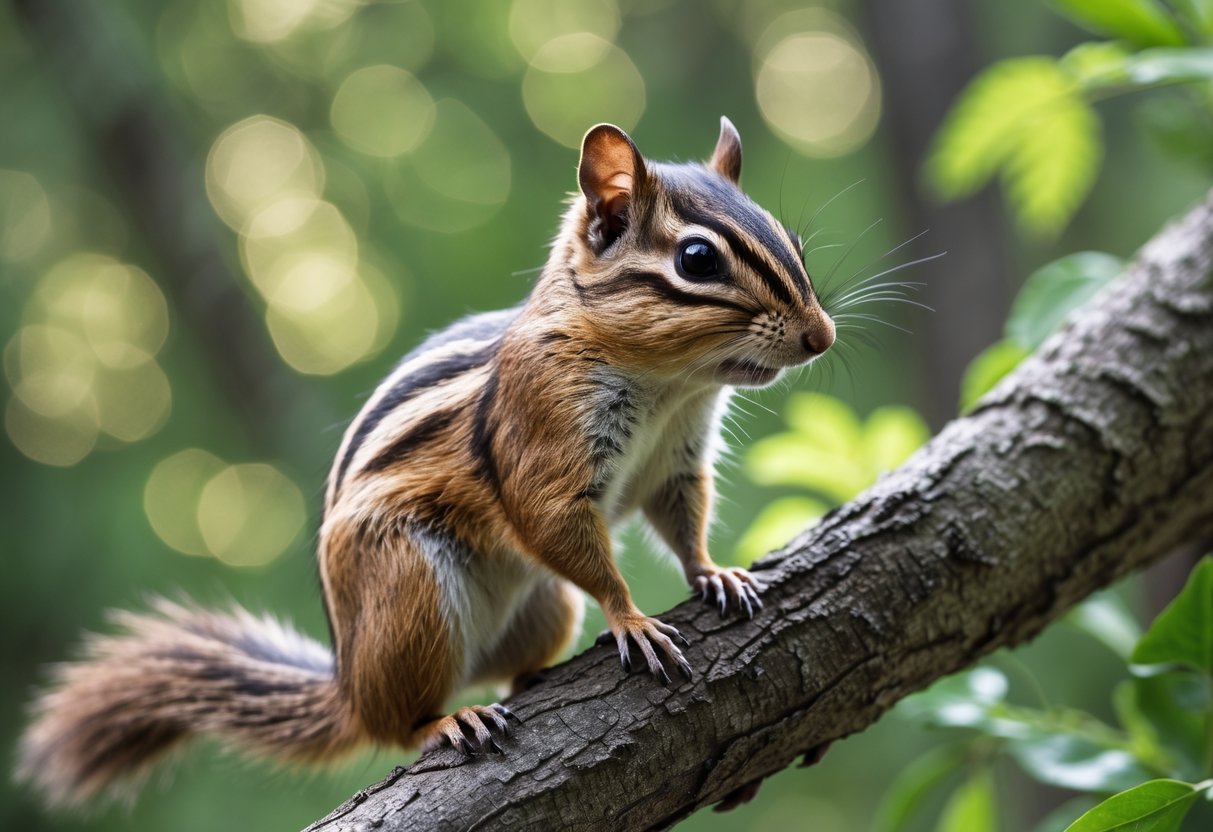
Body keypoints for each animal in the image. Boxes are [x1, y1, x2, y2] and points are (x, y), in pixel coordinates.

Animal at [17, 117, 835, 807]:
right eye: (696, 260)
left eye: (795, 244)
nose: (821, 336)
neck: (671, 384)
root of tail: (349, 684)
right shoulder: (541, 437)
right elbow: (556, 526)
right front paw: (632, 617)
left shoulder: (676, 459)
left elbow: (682, 519)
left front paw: (715, 573)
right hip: (407, 588)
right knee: (397, 723)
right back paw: (447, 722)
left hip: (542, 605)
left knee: (506, 669)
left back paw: (521, 681)